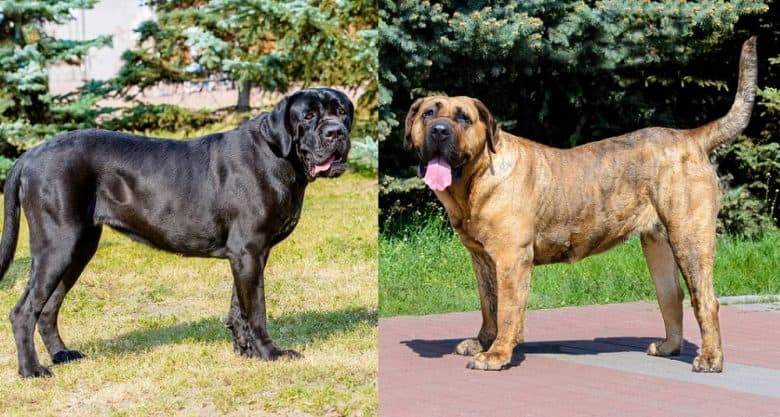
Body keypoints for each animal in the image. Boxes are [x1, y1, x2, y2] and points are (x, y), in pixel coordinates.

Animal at [0, 86, 354, 376]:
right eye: (307, 116)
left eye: (341, 112)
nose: (336, 133)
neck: (277, 155)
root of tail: (29, 155)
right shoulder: (249, 250)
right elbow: (256, 309)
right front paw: (271, 354)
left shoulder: (247, 255)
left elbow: (238, 307)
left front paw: (245, 352)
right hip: (57, 247)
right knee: (23, 311)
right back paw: (31, 370)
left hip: (79, 248)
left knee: (47, 308)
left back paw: (62, 355)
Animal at [402, 37, 756, 372]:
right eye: (428, 113)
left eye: (463, 117)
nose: (439, 131)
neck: (474, 182)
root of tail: (691, 137)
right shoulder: (481, 257)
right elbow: (489, 305)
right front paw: (482, 342)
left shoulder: (511, 259)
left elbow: (507, 310)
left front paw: (497, 354)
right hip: (657, 245)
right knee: (671, 295)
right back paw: (669, 346)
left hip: (689, 237)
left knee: (704, 299)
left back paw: (710, 359)